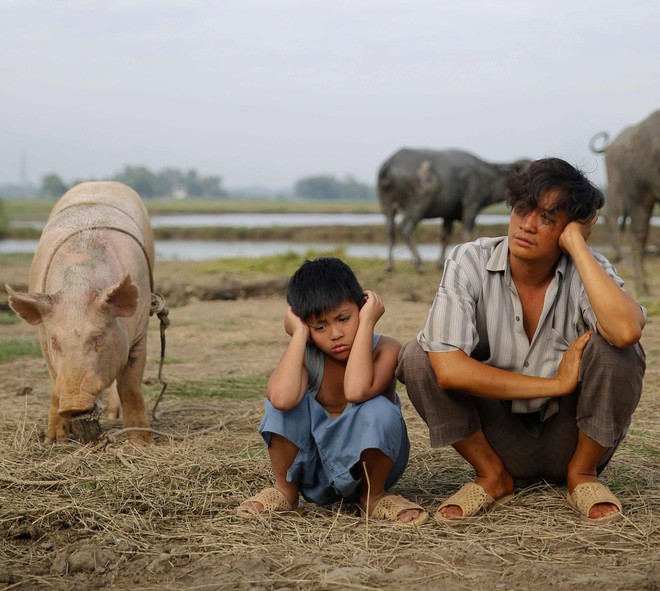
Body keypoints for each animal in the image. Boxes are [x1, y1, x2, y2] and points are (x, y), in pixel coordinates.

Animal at [7, 182, 157, 444]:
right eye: (55, 341)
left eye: (98, 337)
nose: (73, 405)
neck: (77, 285)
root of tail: (101, 182)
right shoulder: (43, 338)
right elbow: (54, 383)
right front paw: (54, 440)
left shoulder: (140, 333)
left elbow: (130, 387)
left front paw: (141, 442)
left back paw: (114, 415)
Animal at [376, 148, 532, 270]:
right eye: (523, 169)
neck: (486, 178)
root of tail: (389, 164)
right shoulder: (471, 207)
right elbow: (467, 234)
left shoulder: (448, 215)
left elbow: (445, 236)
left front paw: (440, 263)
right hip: (418, 205)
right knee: (405, 227)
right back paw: (419, 263)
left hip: (387, 207)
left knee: (390, 232)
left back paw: (389, 265)